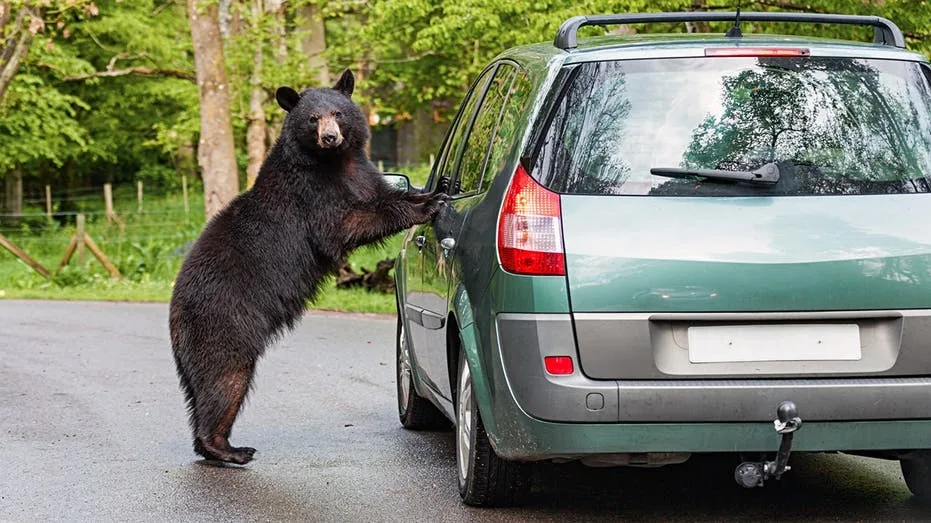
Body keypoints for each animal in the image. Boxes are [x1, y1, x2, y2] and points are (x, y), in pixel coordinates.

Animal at [168, 69, 447, 465]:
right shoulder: (310, 194)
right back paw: (228, 448)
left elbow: (382, 193)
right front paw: (427, 205)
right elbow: (345, 224)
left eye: (338, 113)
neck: (333, 163)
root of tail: (175, 310)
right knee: (224, 378)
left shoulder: (362, 173)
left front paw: (428, 192)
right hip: (224, 321)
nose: (330, 137)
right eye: (313, 118)